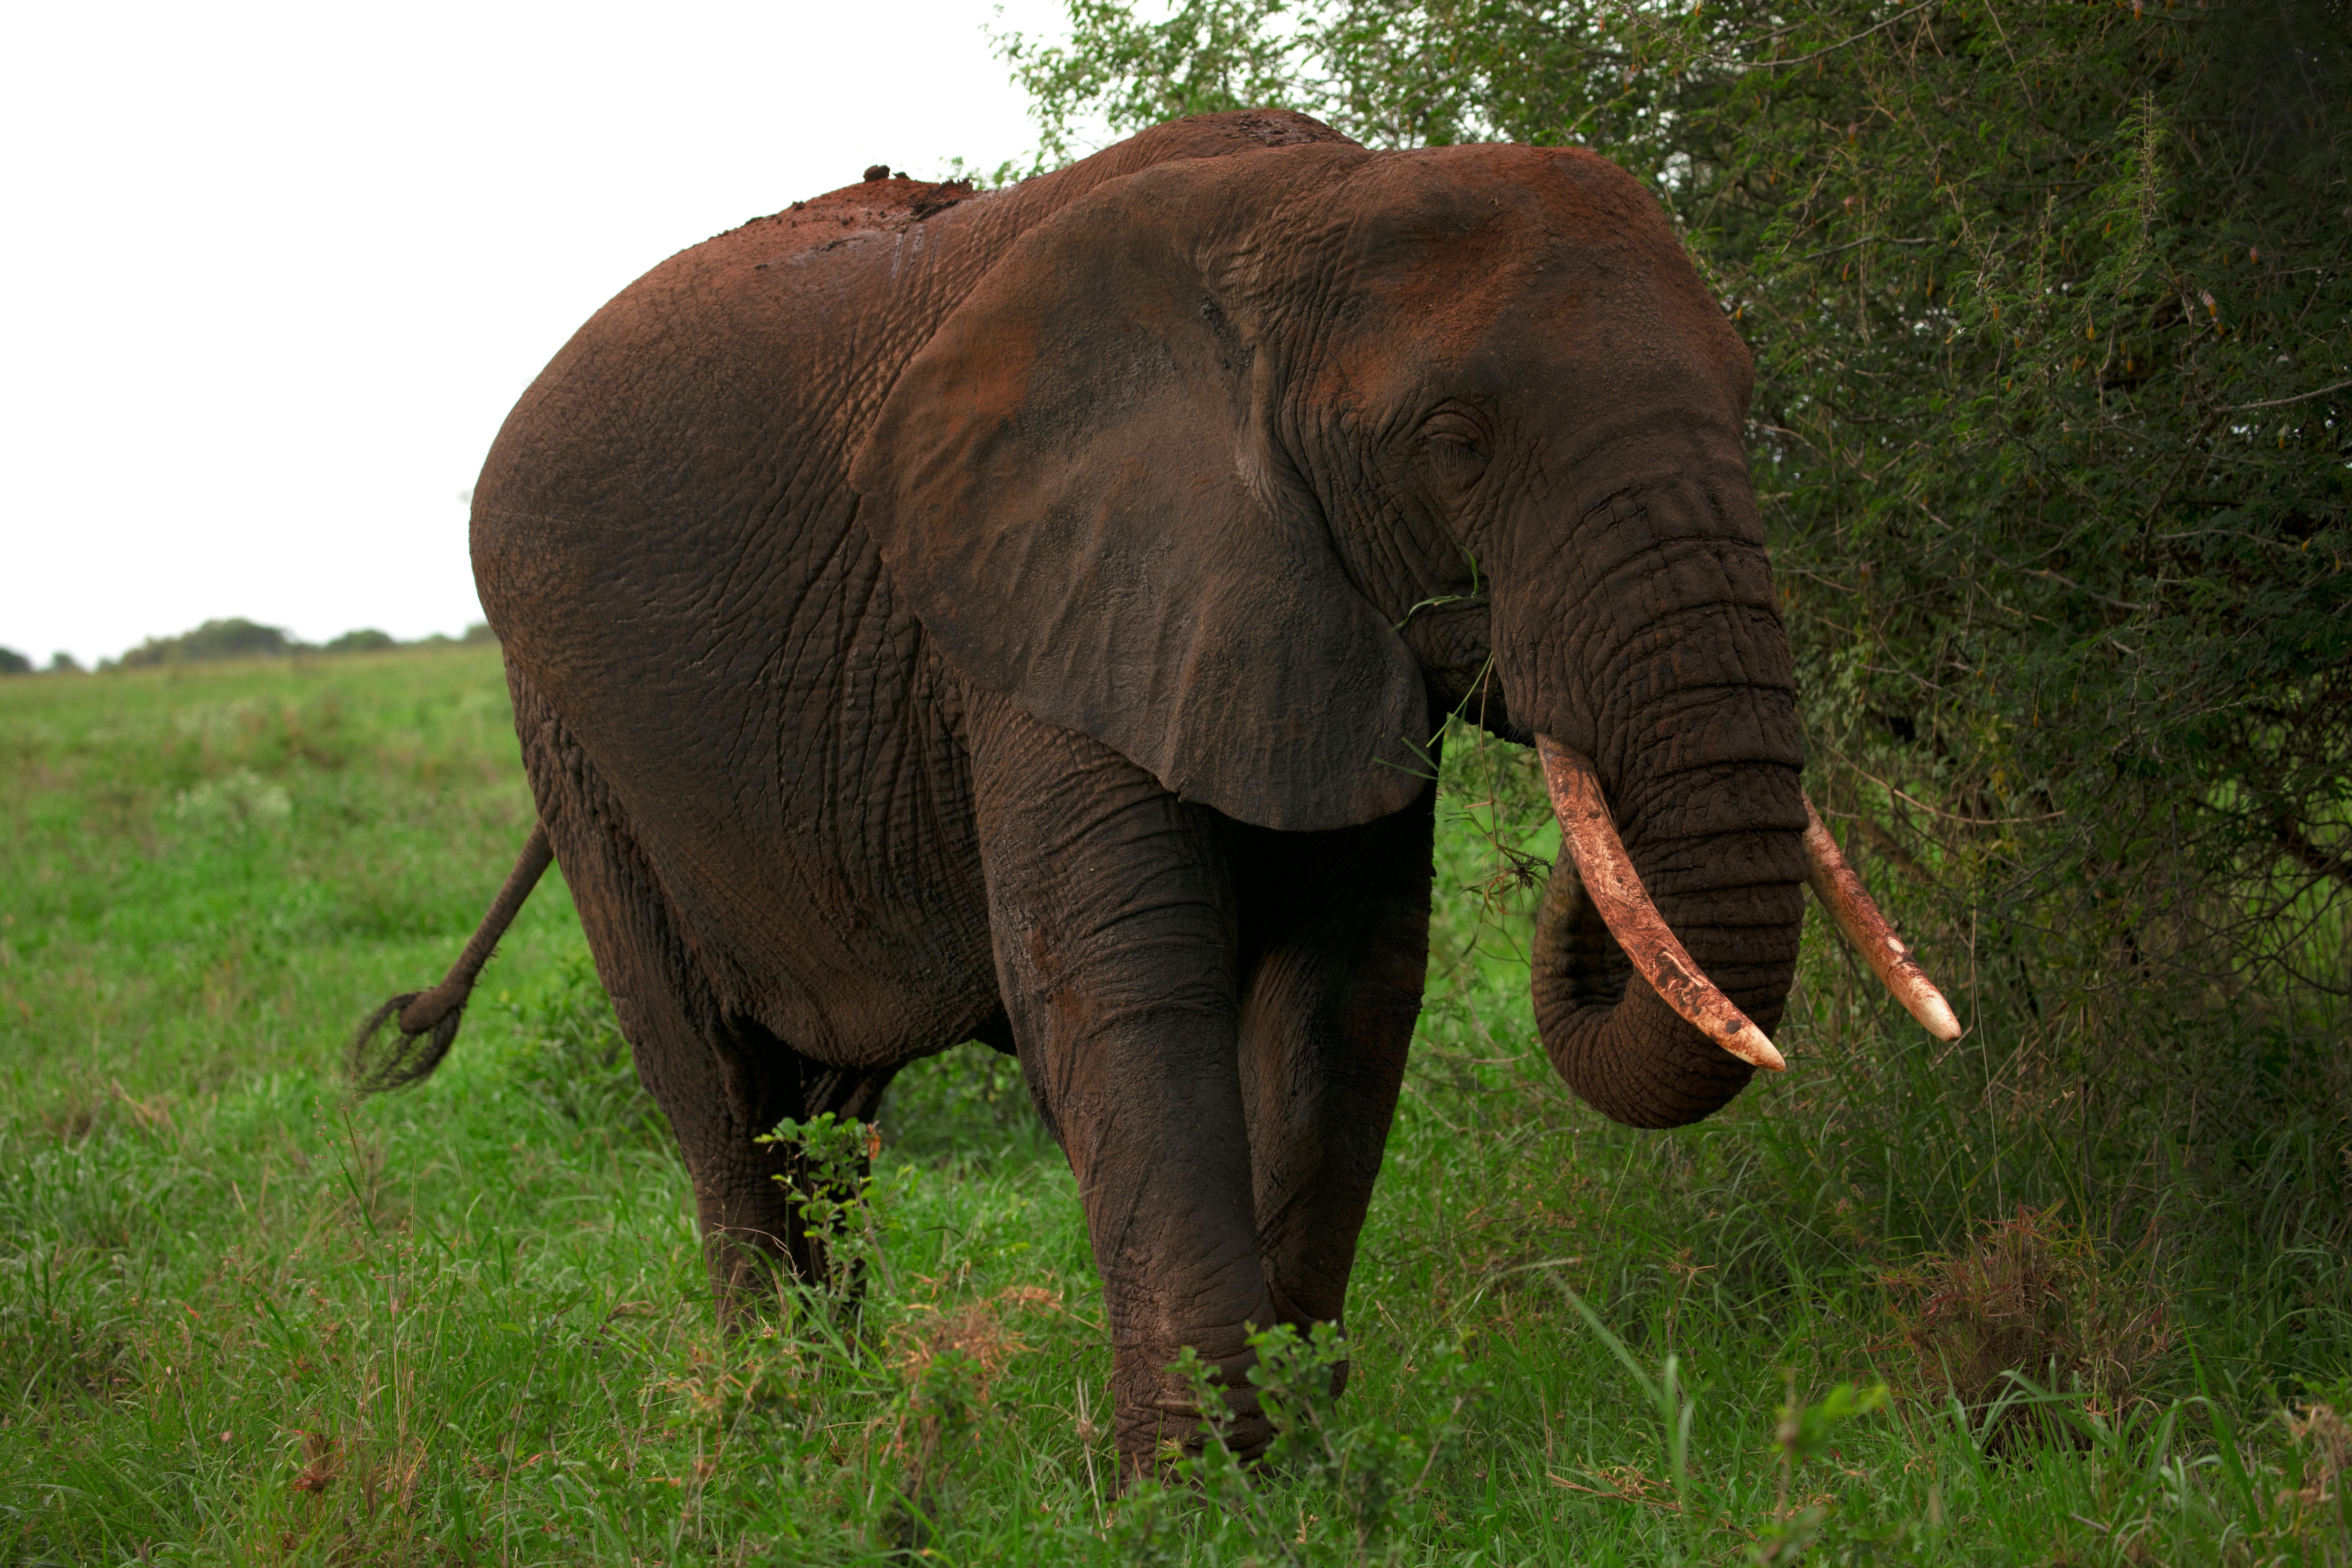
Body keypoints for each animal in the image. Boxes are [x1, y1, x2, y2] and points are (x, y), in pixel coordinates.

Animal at [357, 107, 1957, 1476]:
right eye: (1452, 440)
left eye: (1750, 405)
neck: (1314, 208)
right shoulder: (1042, 597)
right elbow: (1121, 986)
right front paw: (1191, 1489)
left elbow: (1343, 992)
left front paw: (1300, 1466)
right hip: (570, 728)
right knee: (712, 1078)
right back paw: (783, 1434)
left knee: (826, 1111)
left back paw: (856, 1401)